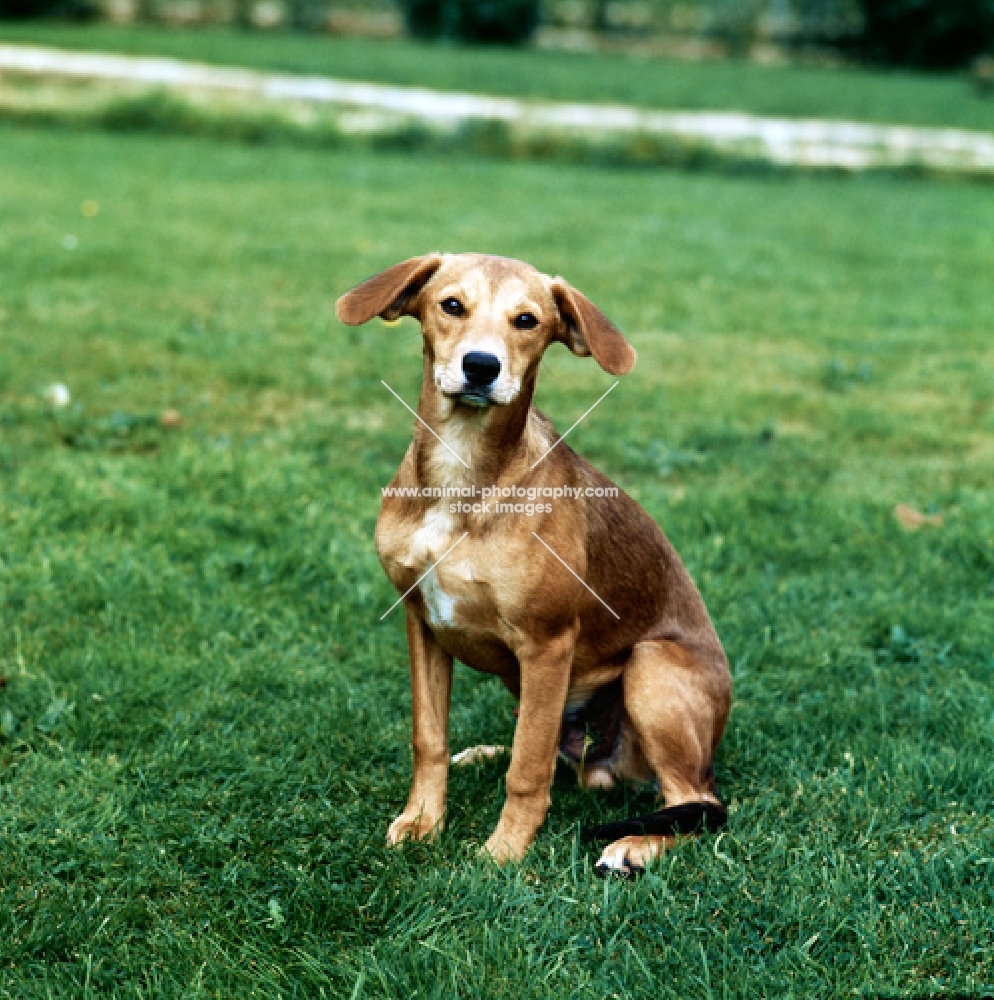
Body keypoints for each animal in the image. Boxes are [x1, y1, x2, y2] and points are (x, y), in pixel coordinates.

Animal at [338, 252, 732, 876]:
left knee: (698, 804)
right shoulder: (421, 623)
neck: (463, 478)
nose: (480, 366)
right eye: (452, 305)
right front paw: (423, 820)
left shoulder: (548, 645)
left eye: (527, 321)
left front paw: (503, 852)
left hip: (650, 668)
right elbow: (430, 740)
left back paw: (633, 846)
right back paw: (484, 753)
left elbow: (527, 770)